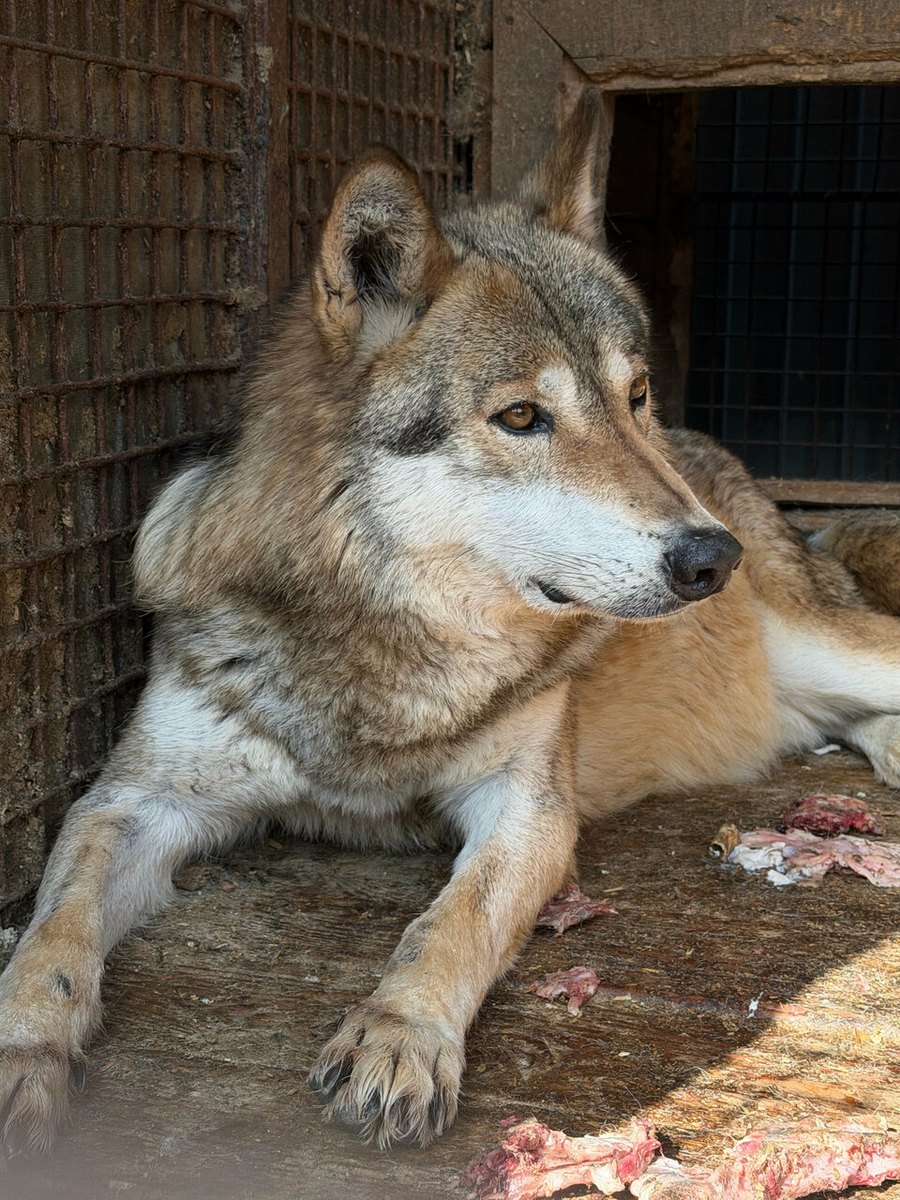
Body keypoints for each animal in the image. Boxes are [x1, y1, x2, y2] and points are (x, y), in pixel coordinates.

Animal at [1, 92, 898, 1157]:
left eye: (633, 396)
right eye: (519, 418)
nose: (711, 560)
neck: (387, 648)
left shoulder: (528, 808)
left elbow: (452, 920)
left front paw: (399, 1040)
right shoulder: (134, 800)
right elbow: (54, 925)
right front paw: (23, 1044)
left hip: (826, 645)